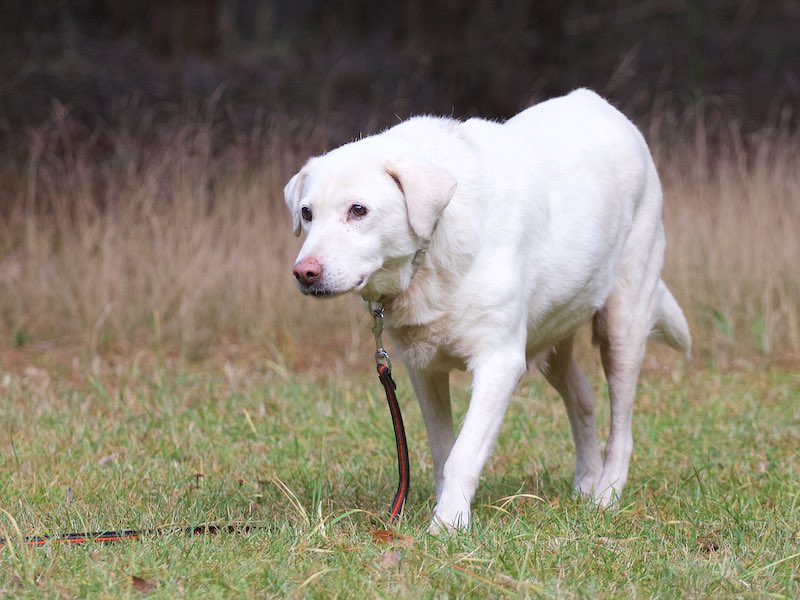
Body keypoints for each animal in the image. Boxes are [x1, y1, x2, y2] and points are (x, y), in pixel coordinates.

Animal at [284, 88, 691, 532]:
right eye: (306, 213)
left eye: (358, 210)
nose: (304, 273)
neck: (431, 250)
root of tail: (600, 103)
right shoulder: (424, 369)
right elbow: (443, 450)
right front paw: (447, 508)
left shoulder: (500, 362)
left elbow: (463, 453)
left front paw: (448, 526)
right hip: (552, 338)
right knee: (583, 398)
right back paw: (586, 483)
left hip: (623, 325)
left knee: (622, 427)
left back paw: (606, 496)